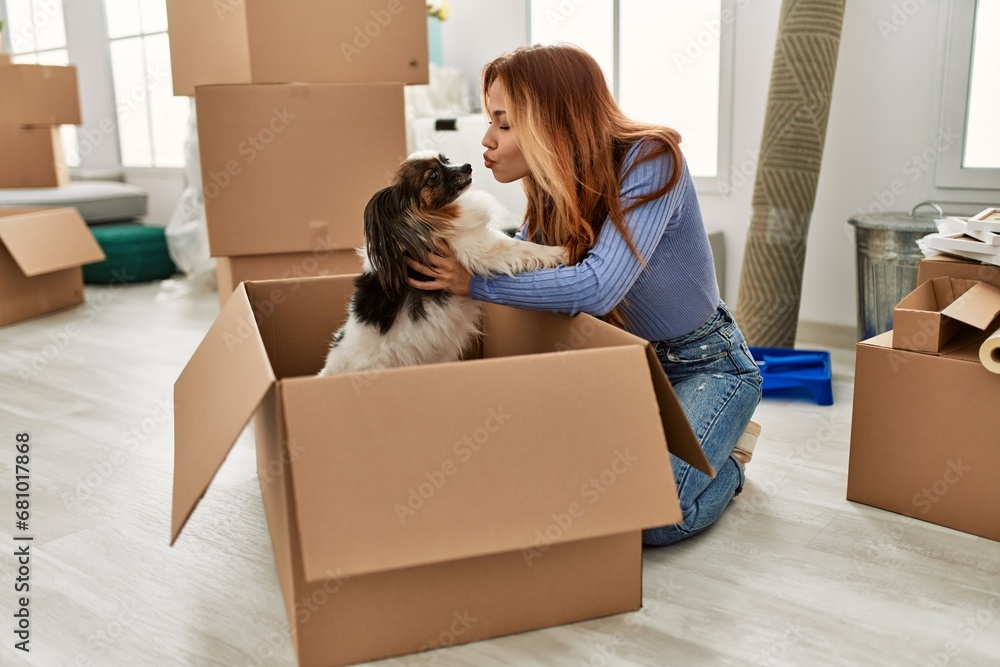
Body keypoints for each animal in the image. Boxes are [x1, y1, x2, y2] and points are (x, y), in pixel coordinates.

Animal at [320, 153, 572, 378]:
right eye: (433, 175)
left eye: (446, 160)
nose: (468, 166)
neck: (432, 217)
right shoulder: (479, 246)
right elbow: (522, 248)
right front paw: (561, 252)